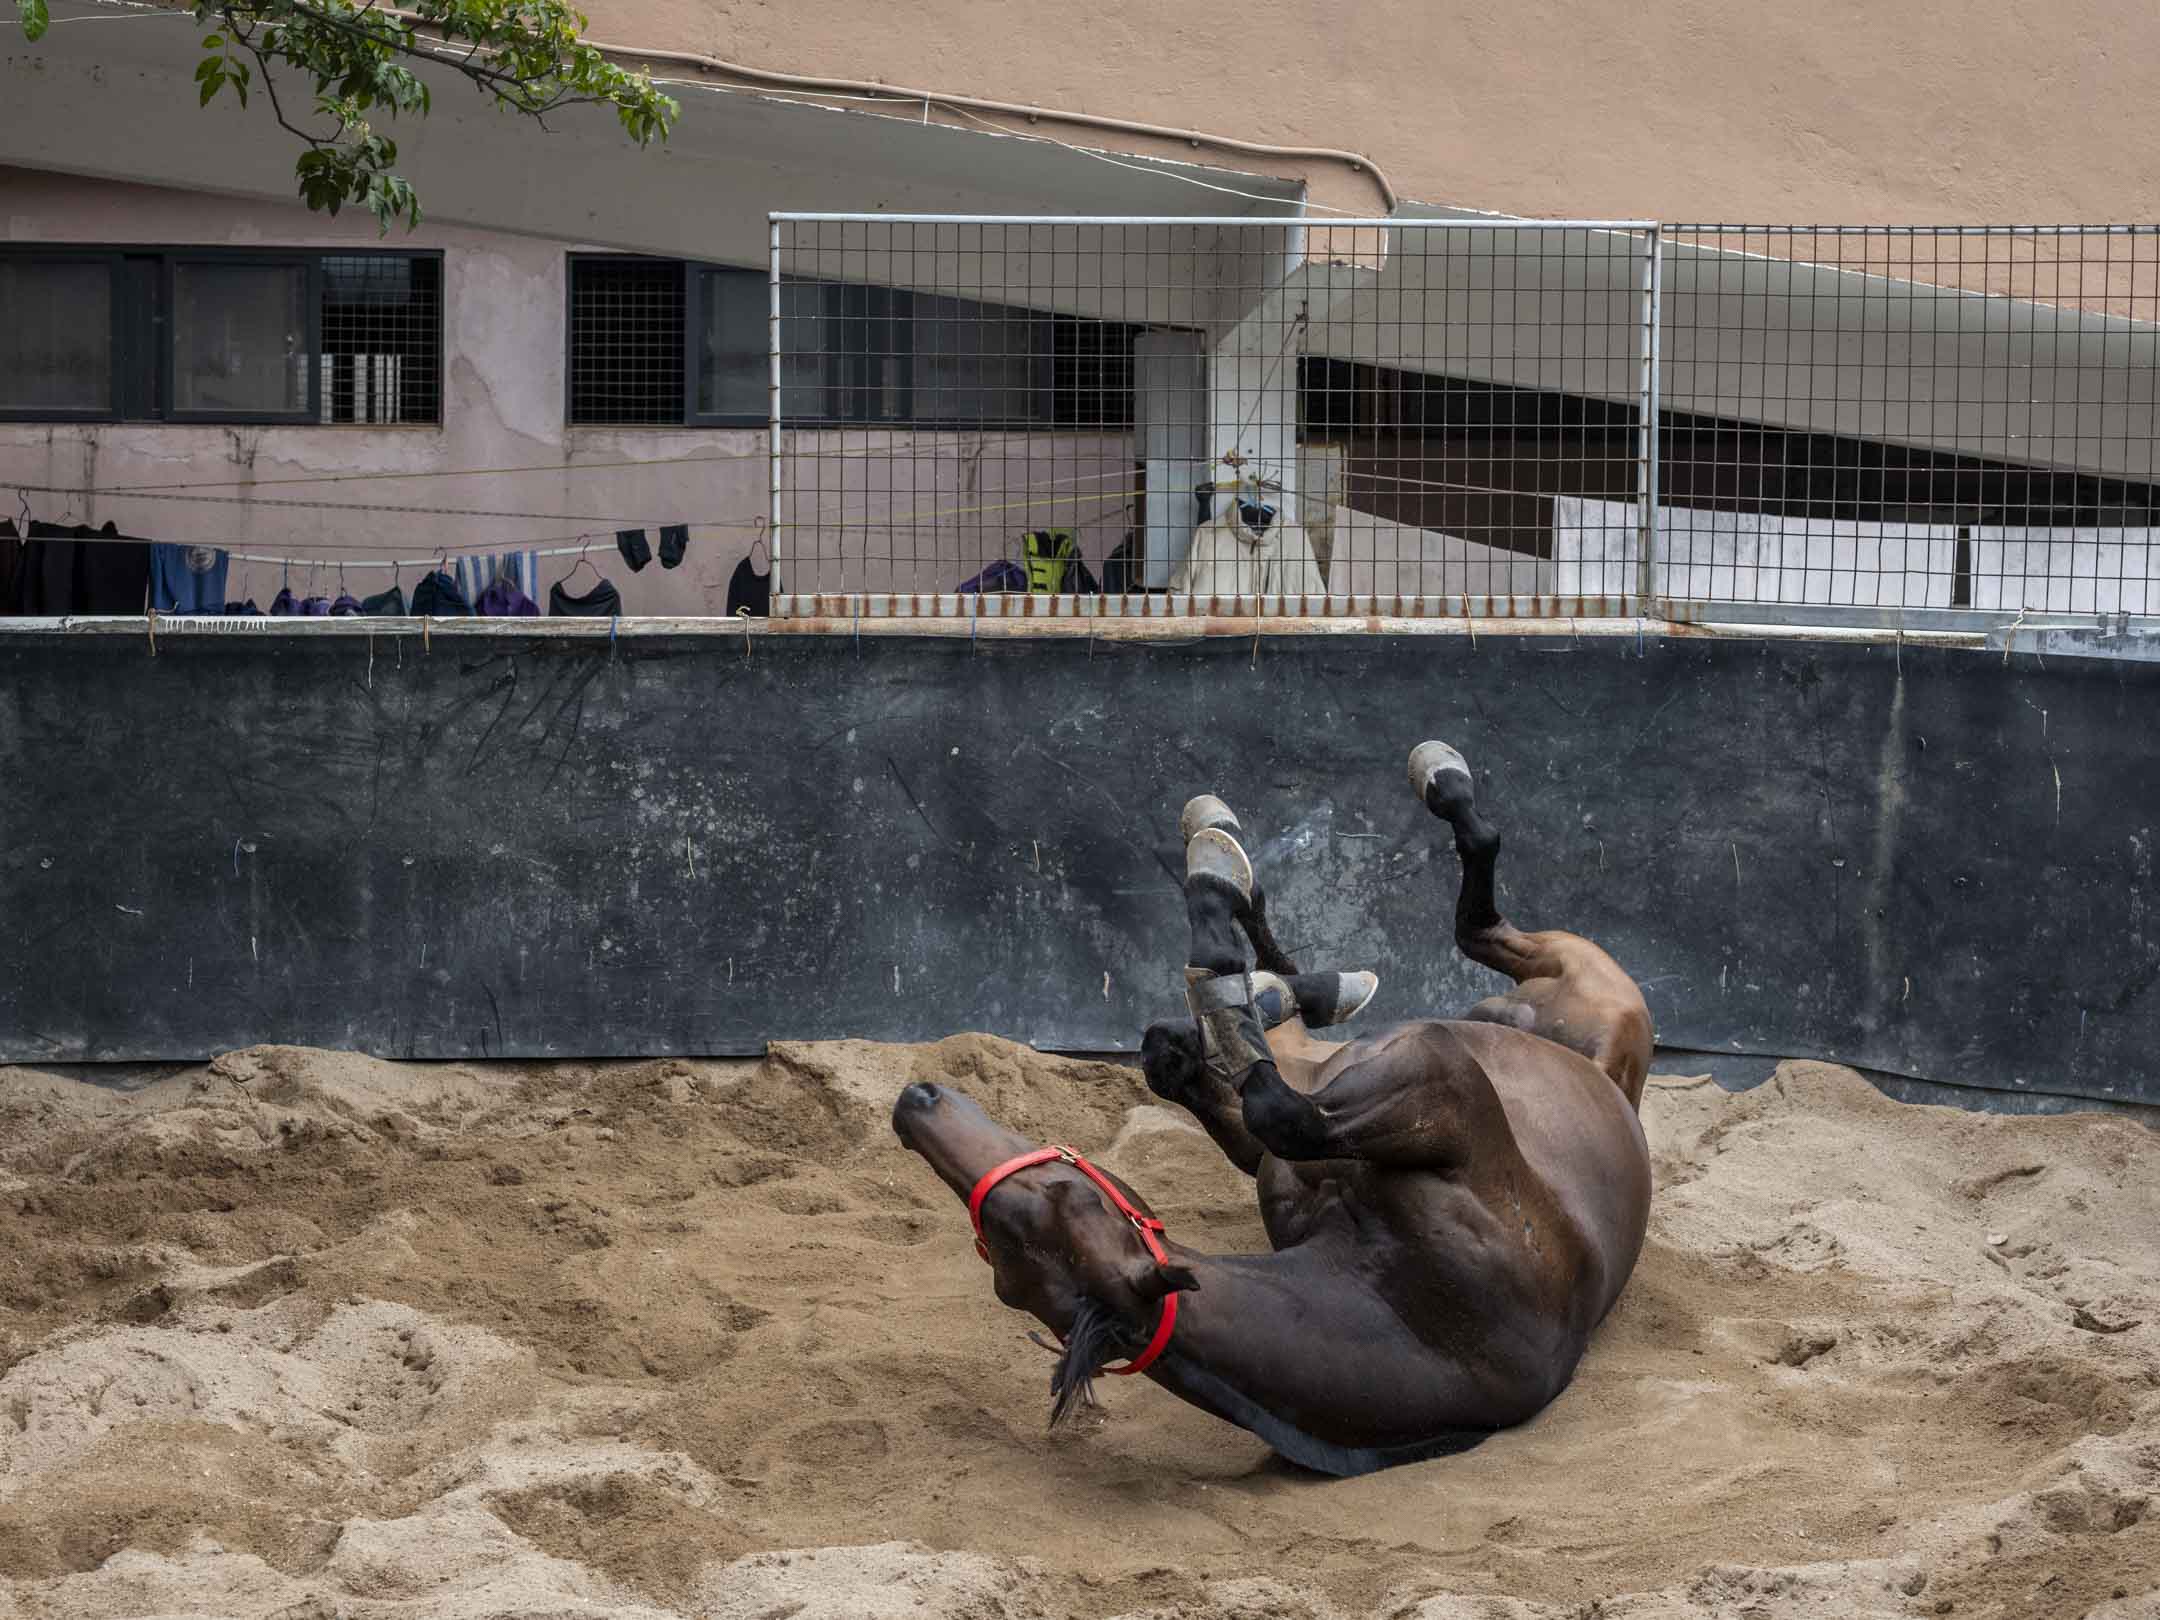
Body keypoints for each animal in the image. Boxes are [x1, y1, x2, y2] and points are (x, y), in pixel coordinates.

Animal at [894, 743, 1650, 1477]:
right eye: (998, 1264)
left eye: (1065, 1193)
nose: (915, 1104)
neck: (1421, 1310)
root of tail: (1609, 1071)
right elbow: (1238, 1085)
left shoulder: (1436, 1081)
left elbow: (1286, 1115)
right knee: (1269, 1006)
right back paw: (1261, 921)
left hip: (1572, 968)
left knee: (1473, 911)